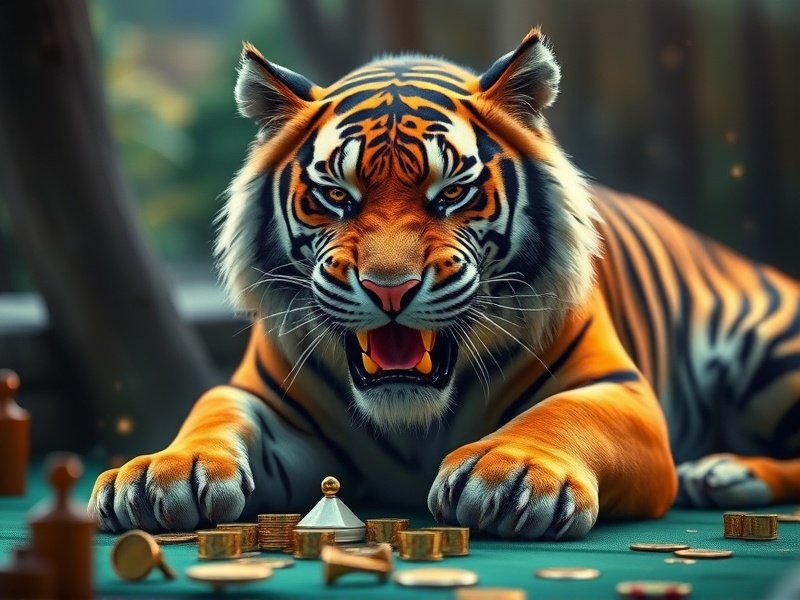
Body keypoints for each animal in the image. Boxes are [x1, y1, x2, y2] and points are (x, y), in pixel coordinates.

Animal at [89, 28, 800, 540]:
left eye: (452, 192)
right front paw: (159, 473)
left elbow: (563, 414)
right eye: (335, 195)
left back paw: (725, 472)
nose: (390, 289)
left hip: (770, 352)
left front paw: (512, 472)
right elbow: (211, 411)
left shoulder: (622, 391)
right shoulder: (261, 396)